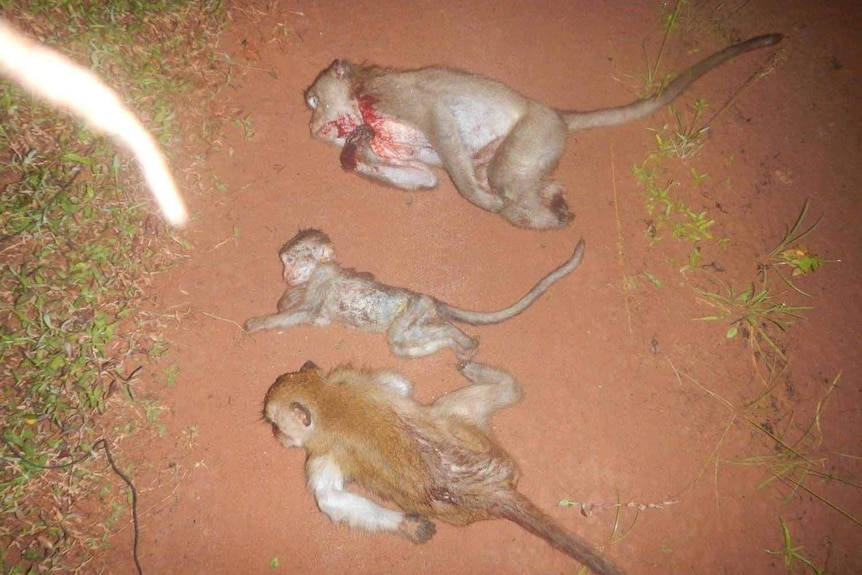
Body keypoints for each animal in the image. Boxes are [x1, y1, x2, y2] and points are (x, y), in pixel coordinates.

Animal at [243, 230, 588, 360]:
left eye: (298, 259)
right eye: (285, 260)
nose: (287, 273)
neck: (318, 272)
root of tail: (429, 299)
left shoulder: (321, 281)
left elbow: (302, 312)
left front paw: (258, 323)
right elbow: (304, 308)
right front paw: (286, 298)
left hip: (411, 313)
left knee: (426, 331)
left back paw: (462, 340)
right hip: (414, 324)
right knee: (408, 345)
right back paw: (460, 347)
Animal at [264, 362, 628, 575]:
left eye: (275, 425)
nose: (278, 438)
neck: (325, 400)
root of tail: (495, 491)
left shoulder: (323, 450)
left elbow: (331, 500)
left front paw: (408, 525)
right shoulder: (348, 378)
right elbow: (400, 385)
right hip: (467, 429)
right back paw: (499, 382)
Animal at [308, 33, 788, 230]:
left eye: (312, 101)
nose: (312, 128)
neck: (361, 105)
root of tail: (556, 113)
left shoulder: (396, 96)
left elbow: (440, 121)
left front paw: (478, 198)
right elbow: (424, 179)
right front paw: (352, 153)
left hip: (535, 133)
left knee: (503, 183)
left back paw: (543, 210)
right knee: (518, 185)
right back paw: (553, 200)